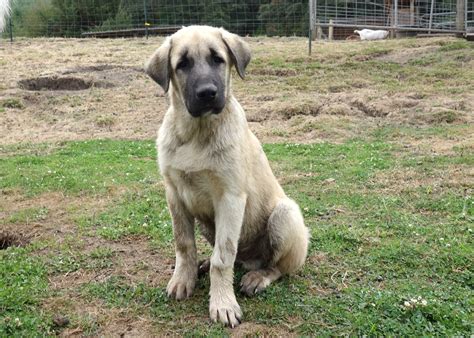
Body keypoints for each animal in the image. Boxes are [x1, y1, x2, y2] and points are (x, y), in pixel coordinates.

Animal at [144, 26, 310, 328]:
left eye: (218, 59)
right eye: (182, 64)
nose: (207, 94)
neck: (196, 132)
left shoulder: (230, 198)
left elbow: (223, 257)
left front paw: (222, 304)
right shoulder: (174, 195)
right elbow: (184, 244)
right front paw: (183, 279)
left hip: (285, 214)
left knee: (276, 267)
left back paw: (257, 277)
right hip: (207, 224)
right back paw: (205, 264)